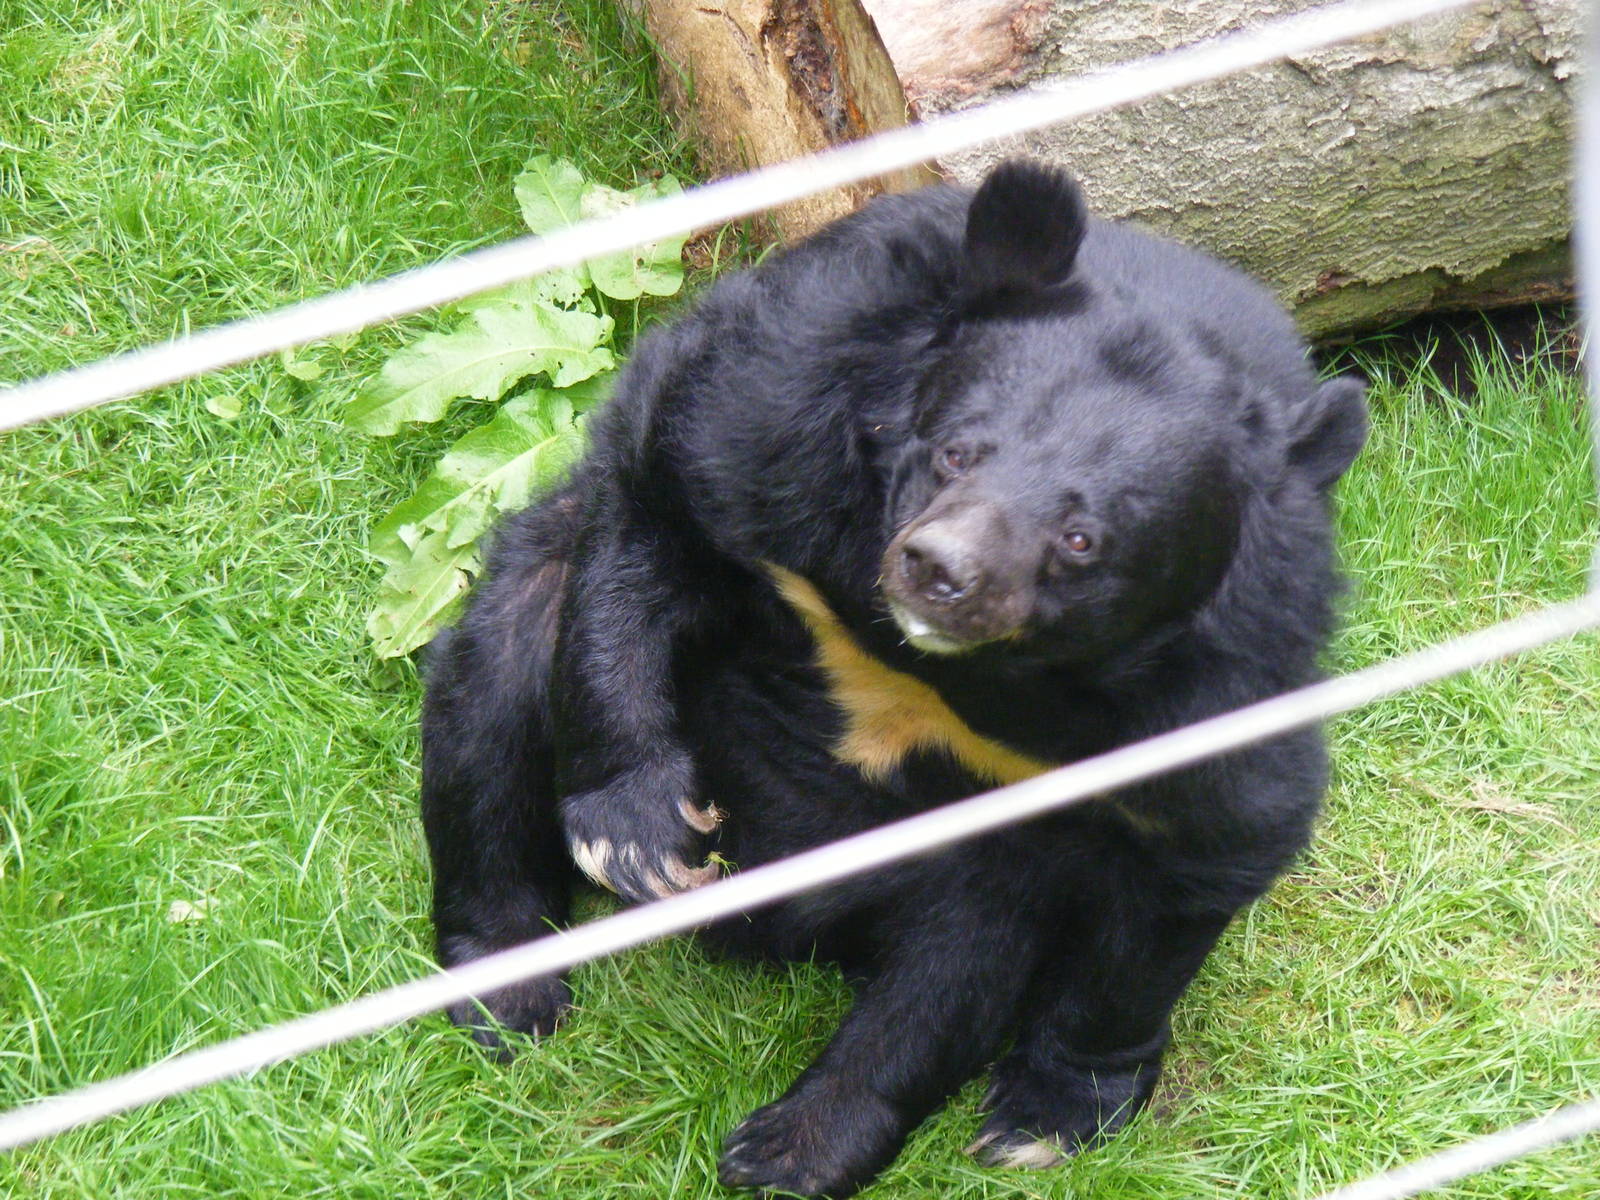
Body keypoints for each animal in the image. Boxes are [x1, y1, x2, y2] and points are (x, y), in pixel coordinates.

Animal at [418, 159, 1367, 1197]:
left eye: (1082, 538)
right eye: (958, 450)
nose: (940, 569)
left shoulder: (1228, 667)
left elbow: (1199, 852)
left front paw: (1049, 1115)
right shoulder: (773, 400)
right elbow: (661, 509)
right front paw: (643, 836)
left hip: (971, 877)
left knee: (945, 977)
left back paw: (793, 1147)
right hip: (526, 614)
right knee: (490, 705)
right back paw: (511, 987)